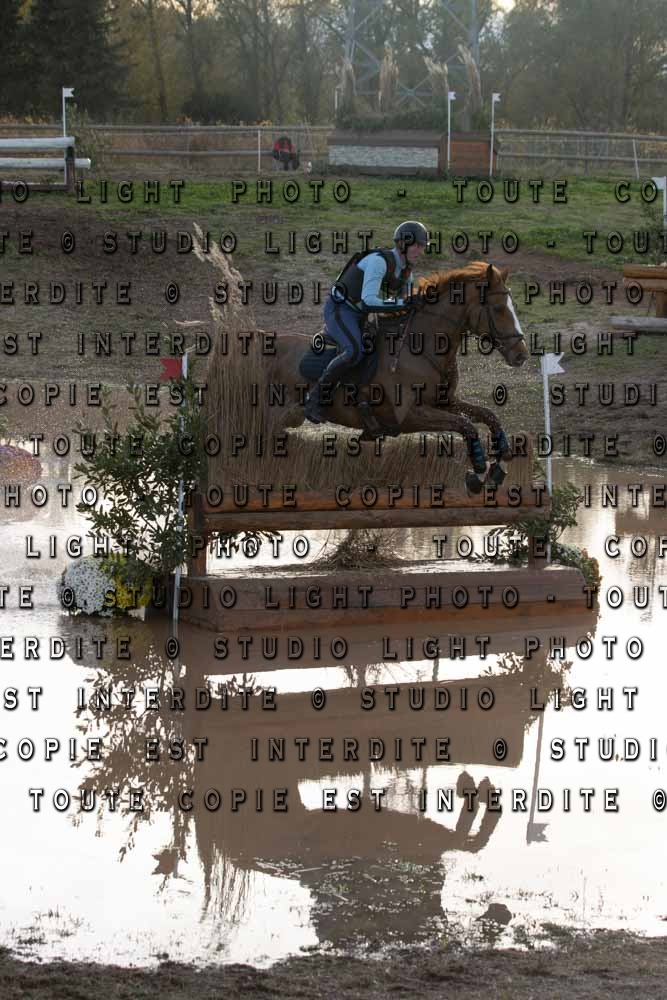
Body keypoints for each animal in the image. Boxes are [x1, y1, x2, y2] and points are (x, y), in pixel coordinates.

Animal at [269, 261, 529, 492]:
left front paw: (502, 461)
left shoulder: (445, 401)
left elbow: (488, 415)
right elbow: (467, 426)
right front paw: (478, 473)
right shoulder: (409, 416)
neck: (422, 349)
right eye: (498, 309)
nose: (522, 355)